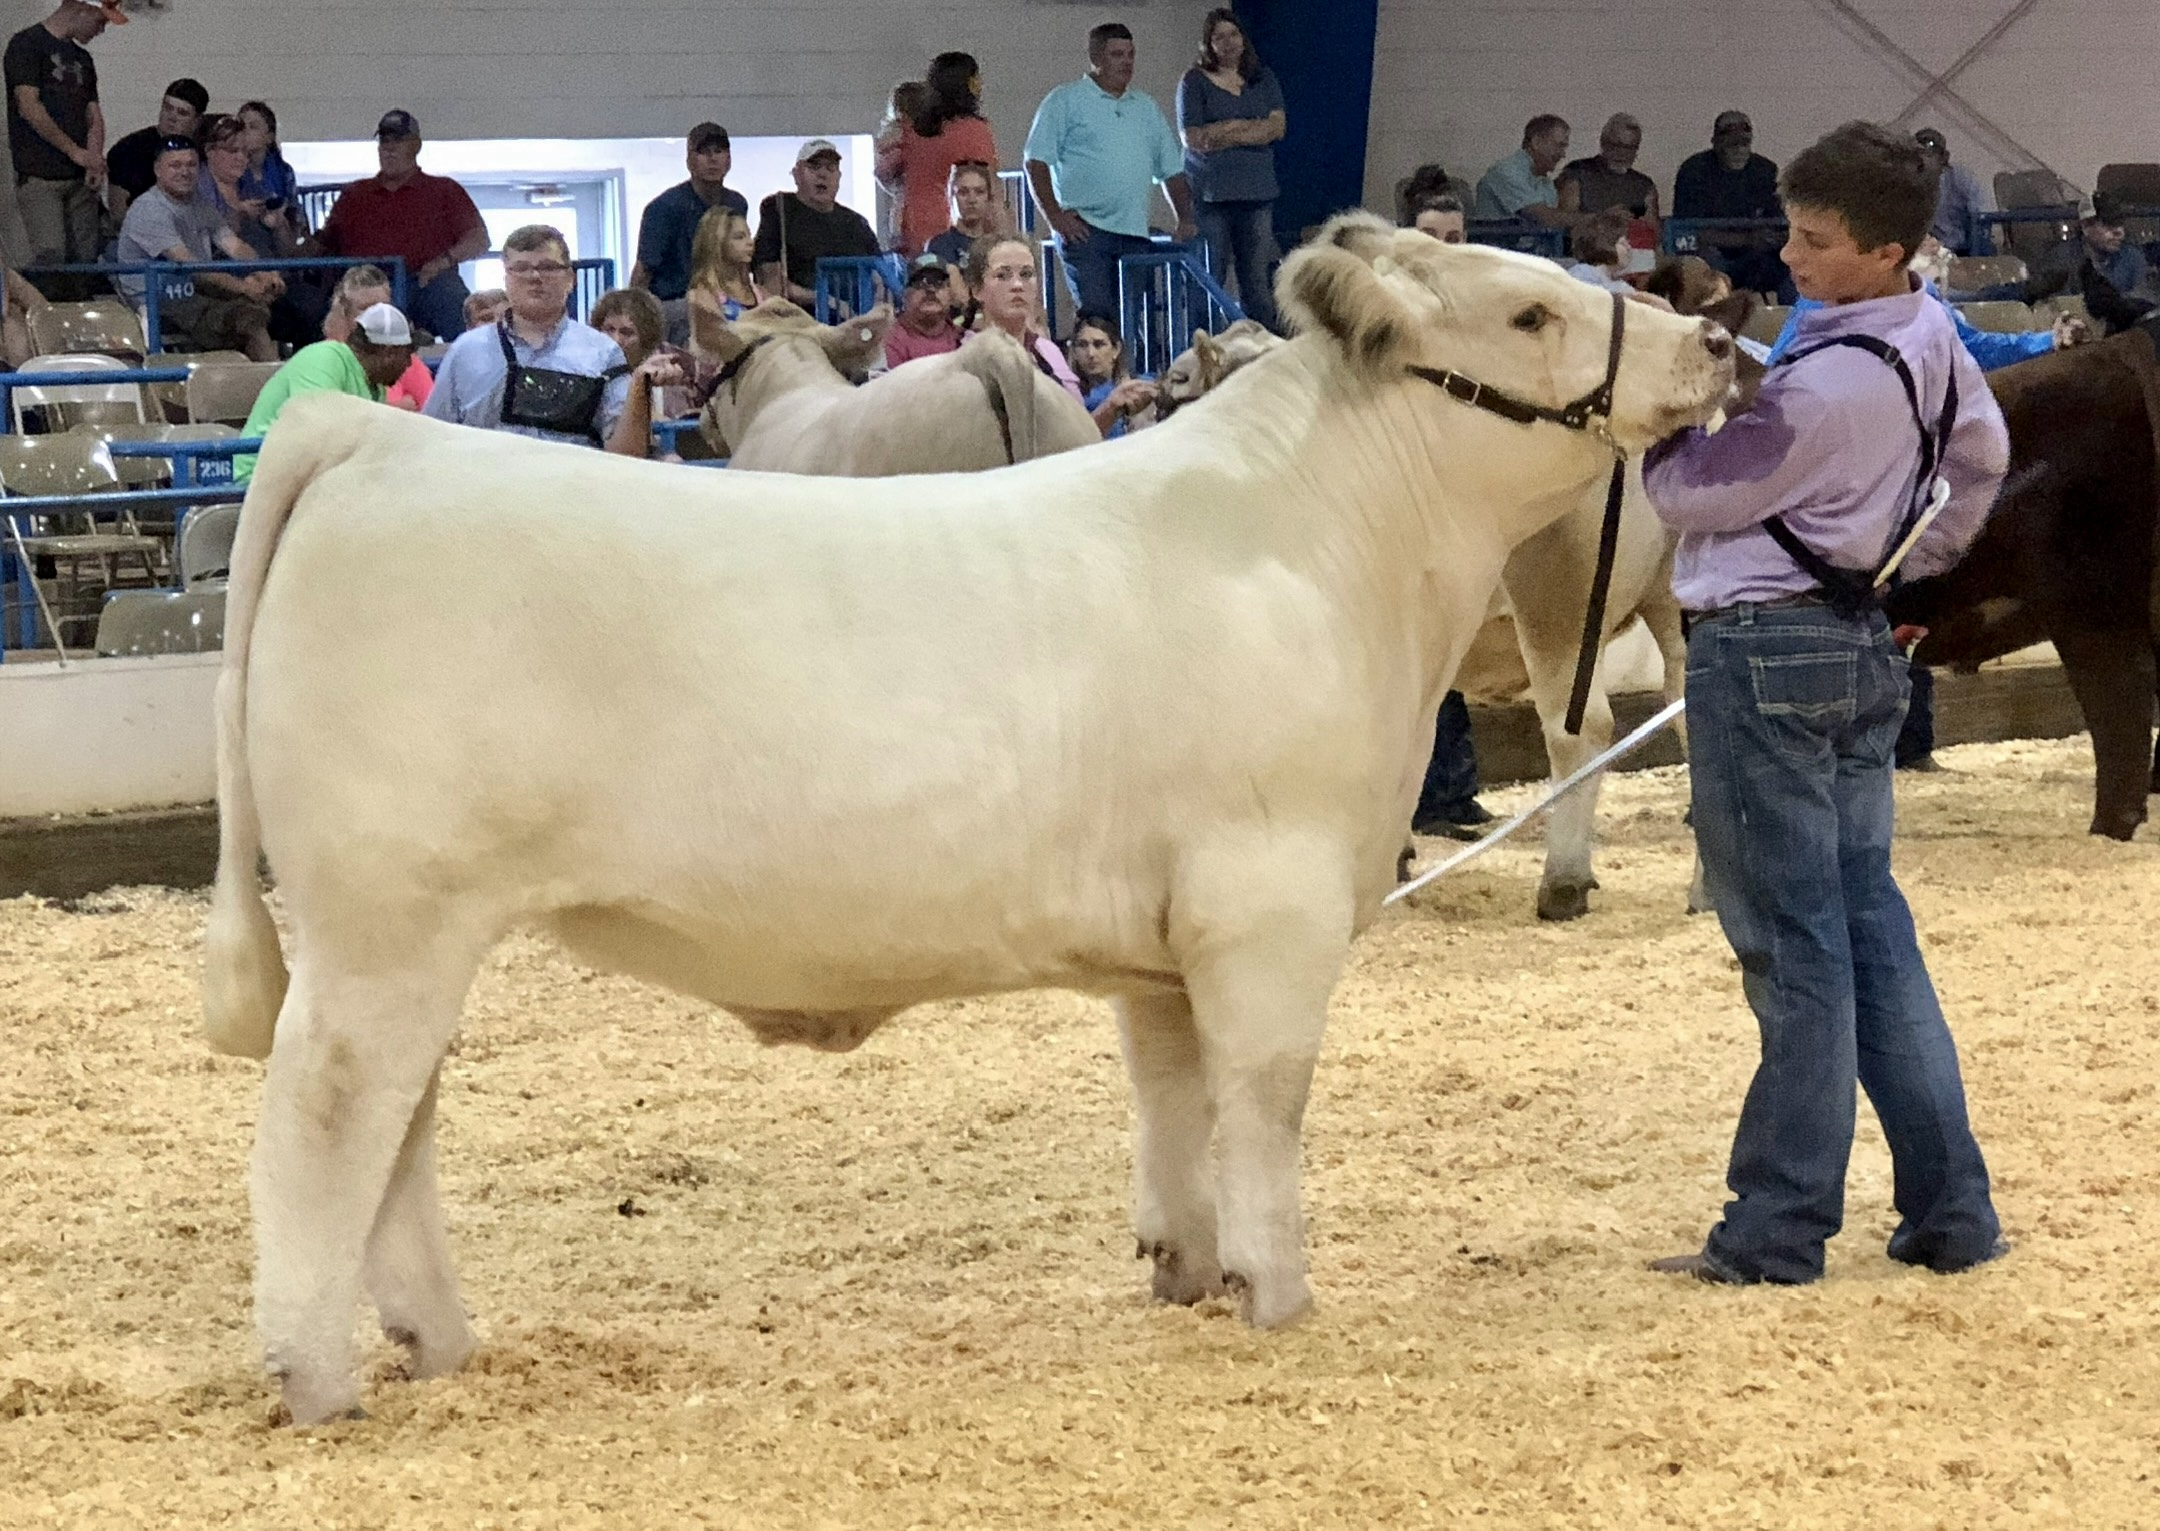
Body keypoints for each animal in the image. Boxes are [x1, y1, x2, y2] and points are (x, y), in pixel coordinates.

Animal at [210, 214, 1728, 1425]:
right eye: (1528, 314)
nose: (1718, 339)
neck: (1326, 550)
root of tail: (370, 437)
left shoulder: (1169, 938)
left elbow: (1171, 1097)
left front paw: (1187, 1269)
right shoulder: (1270, 905)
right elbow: (1263, 1101)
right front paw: (1280, 1294)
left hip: (414, 932)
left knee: (397, 1128)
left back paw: (438, 1341)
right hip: (386, 921)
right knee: (326, 1115)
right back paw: (318, 1377)